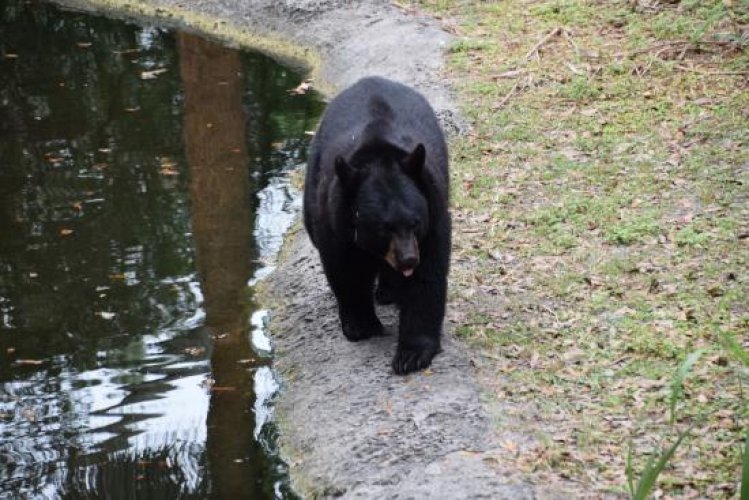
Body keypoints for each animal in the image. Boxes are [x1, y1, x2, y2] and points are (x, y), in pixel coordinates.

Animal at [302, 76, 450, 374]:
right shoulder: (335, 220)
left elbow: (429, 275)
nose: (408, 259)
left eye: (415, 222)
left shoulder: (434, 212)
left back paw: (389, 291)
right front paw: (362, 326)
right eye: (384, 227)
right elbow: (345, 270)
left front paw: (411, 354)